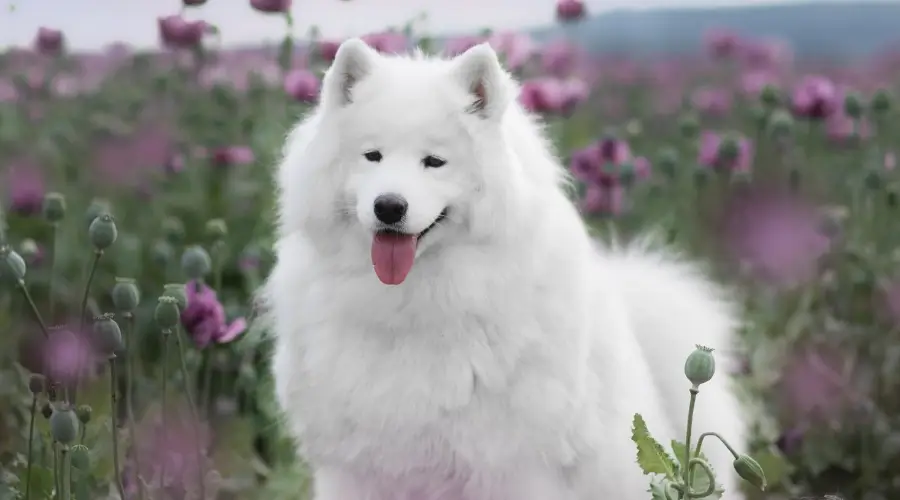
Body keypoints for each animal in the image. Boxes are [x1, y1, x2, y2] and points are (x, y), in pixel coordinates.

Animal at [264, 37, 748, 498]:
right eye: (372, 156)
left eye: (434, 161)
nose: (388, 206)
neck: (415, 302)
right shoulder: (352, 468)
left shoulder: (514, 466)